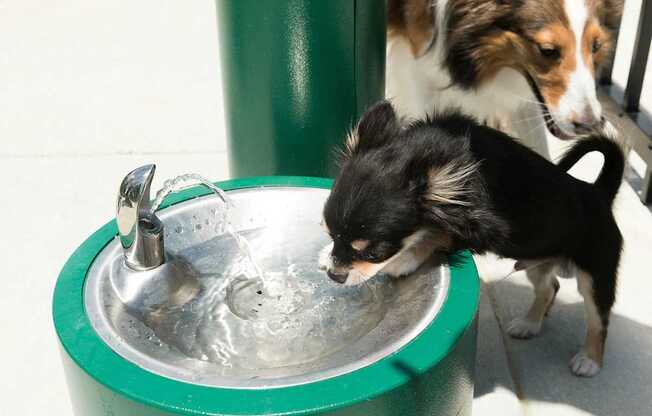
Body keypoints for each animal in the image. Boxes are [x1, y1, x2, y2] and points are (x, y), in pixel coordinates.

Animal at [318, 101, 624, 376]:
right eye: (330, 233)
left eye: (374, 253)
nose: (335, 275)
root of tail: (598, 193)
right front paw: (325, 253)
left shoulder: (488, 230)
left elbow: (440, 233)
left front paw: (404, 260)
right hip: (537, 262)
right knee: (549, 287)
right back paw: (529, 324)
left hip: (595, 275)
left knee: (599, 319)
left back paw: (589, 360)